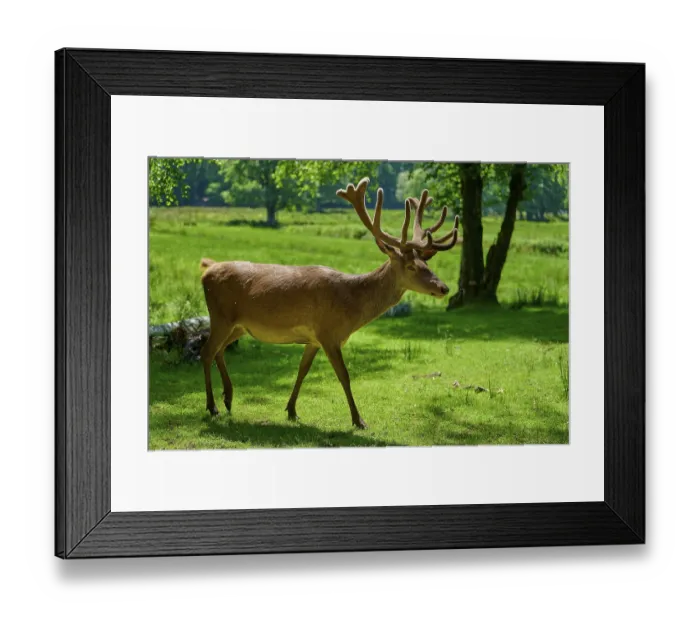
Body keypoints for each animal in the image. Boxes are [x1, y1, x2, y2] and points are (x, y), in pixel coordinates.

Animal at [199, 177, 459, 429]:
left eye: (427, 264)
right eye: (411, 266)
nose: (444, 288)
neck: (351, 307)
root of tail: (207, 270)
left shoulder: (314, 338)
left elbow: (302, 370)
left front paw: (291, 410)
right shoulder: (328, 333)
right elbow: (344, 375)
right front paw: (358, 420)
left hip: (239, 325)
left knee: (220, 350)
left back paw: (228, 398)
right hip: (220, 315)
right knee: (207, 351)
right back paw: (212, 406)